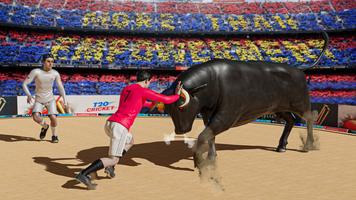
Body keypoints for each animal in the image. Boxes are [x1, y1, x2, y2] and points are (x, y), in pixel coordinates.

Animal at [161, 31, 328, 170]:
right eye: (169, 110)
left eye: (181, 106)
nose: (180, 130)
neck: (213, 81)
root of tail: (299, 69)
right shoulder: (209, 114)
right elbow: (210, 135)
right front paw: (212, 157)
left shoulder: (227, 116)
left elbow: (204, 134)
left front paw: (199, 160)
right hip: (278, 108)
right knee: (291, 120)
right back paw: (281, 146)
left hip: (300, 103)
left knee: (310, 117)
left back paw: (308, 146)